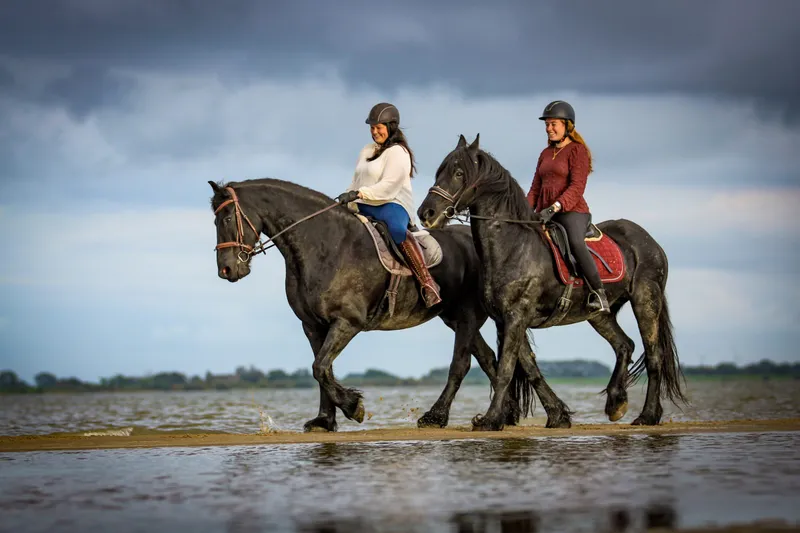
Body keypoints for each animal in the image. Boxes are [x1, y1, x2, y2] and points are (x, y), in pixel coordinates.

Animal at [207, 177, 573, 432]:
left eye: (226, 219)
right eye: (215, 221)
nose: (227, 270)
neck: (323, 245)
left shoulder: (347, 322)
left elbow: (320, 367)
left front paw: (352, 407)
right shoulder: (312, 326)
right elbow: (321, 369)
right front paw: (325, 420)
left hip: (469, 318)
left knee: (466, 365)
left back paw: (443, 416)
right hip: (457, 318)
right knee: (491, 360)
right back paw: (511, 414)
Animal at [417, 134, 688, 431]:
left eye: (458, 173)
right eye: (439, 172)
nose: (426, 213)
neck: (513, 247)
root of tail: (650, 241)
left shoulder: (516, 316)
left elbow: (506, 370)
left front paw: (489, 420)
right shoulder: (507, 319)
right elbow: (528, 368)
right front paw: (556, 416)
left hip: (645, 300)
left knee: (653, 356)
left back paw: (647, 415)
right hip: (600, 314)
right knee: (624, 345)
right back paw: (616, 403)